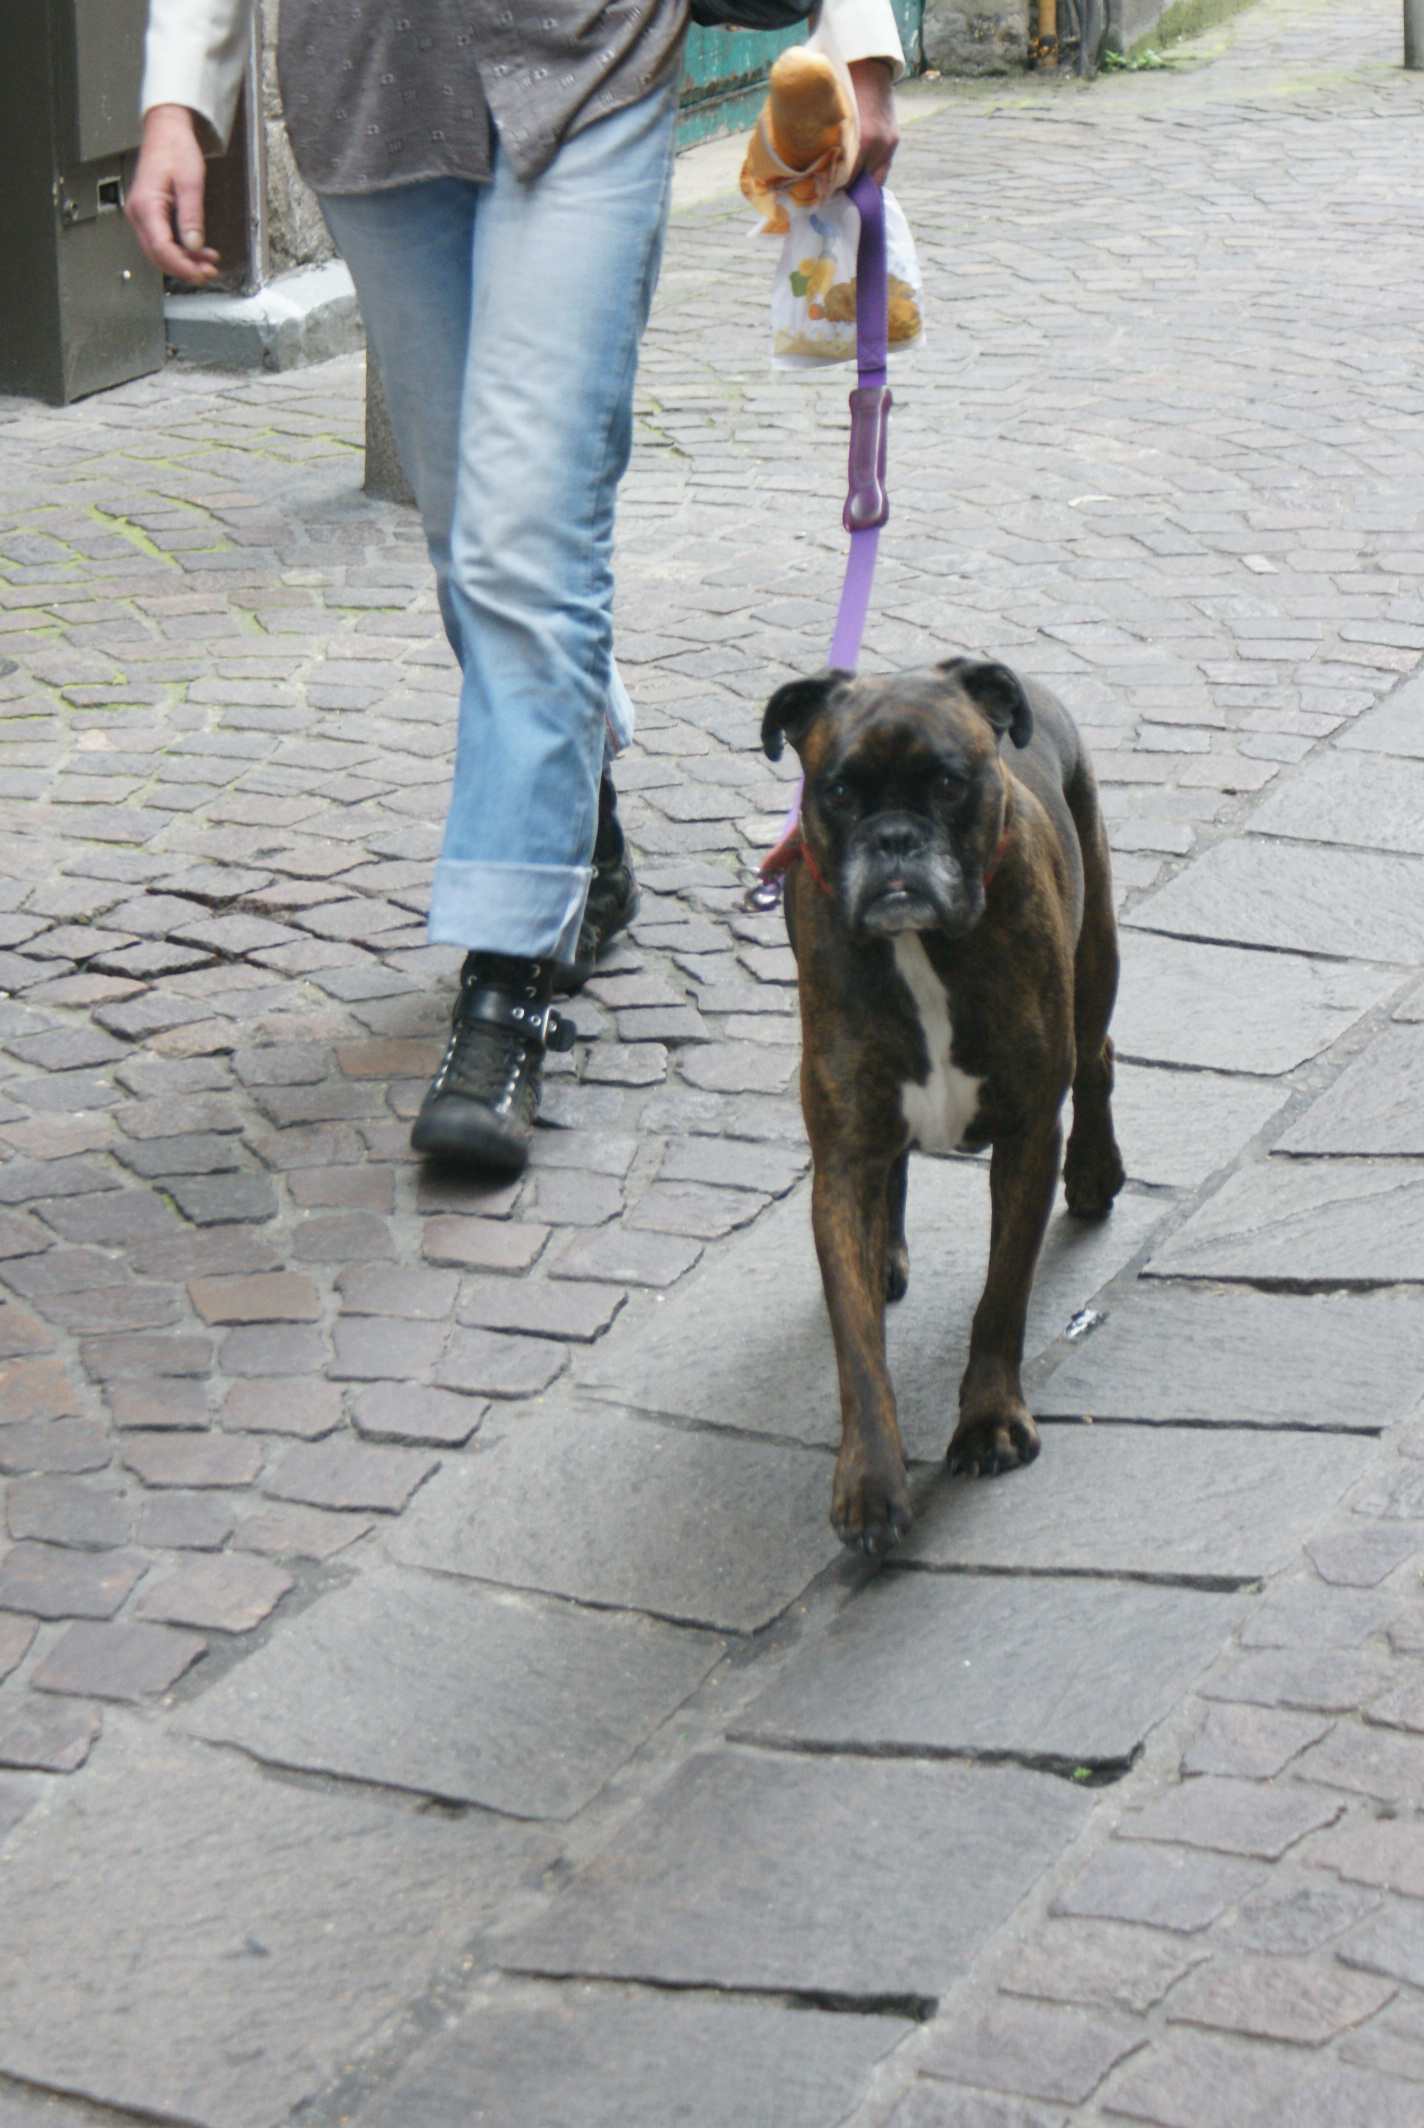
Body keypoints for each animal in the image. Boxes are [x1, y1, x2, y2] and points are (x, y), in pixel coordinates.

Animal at [761, 657, 1126, 1556]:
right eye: (838, 790)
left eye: (949, 783)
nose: (894, 838)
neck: (919, 949)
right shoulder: (842, 1162)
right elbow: (858, 1348)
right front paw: (870, 1484)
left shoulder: (1028, 1135)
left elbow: (1001, 1297)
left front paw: (990, 1423)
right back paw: (890, 1251)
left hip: (1096, 959)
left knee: (1098, 1058)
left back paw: (1097, 1174)